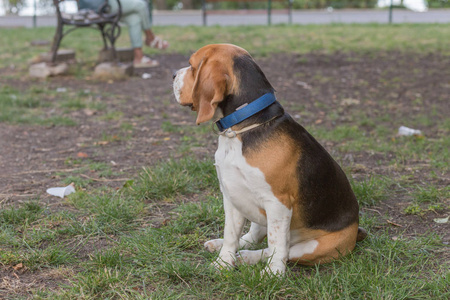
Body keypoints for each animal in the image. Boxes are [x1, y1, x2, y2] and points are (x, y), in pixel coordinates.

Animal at [172, 43, 366, 276]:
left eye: (192, 66)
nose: (172, 74)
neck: (241, 128)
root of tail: (356, 230)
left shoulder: (278, 203)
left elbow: (276, 243)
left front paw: (273, 274)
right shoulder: (231, 195)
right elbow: (231, 234)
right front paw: (223, 263)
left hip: (315, 247)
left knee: (285, 249)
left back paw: (249, 257)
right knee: (252, 236)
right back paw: (228, 248)